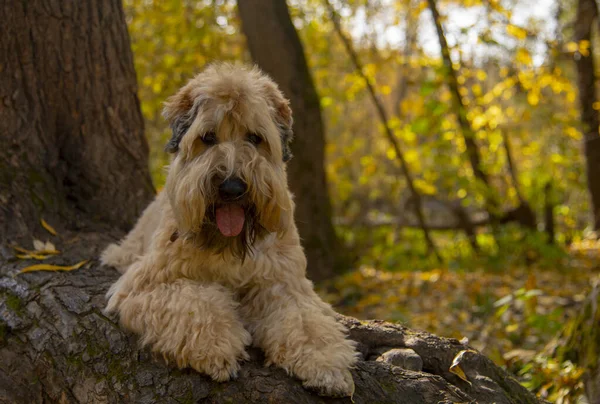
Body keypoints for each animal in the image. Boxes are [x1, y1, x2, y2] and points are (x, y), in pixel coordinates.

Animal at [101, 63, 358, 398]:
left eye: (255, 137)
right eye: (208, 137)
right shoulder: (147, 284)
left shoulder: (284, 284)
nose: (232, 188)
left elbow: (307, 322)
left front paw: (326, 365)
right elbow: (196, 302)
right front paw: (216, 349)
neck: (228, 245)